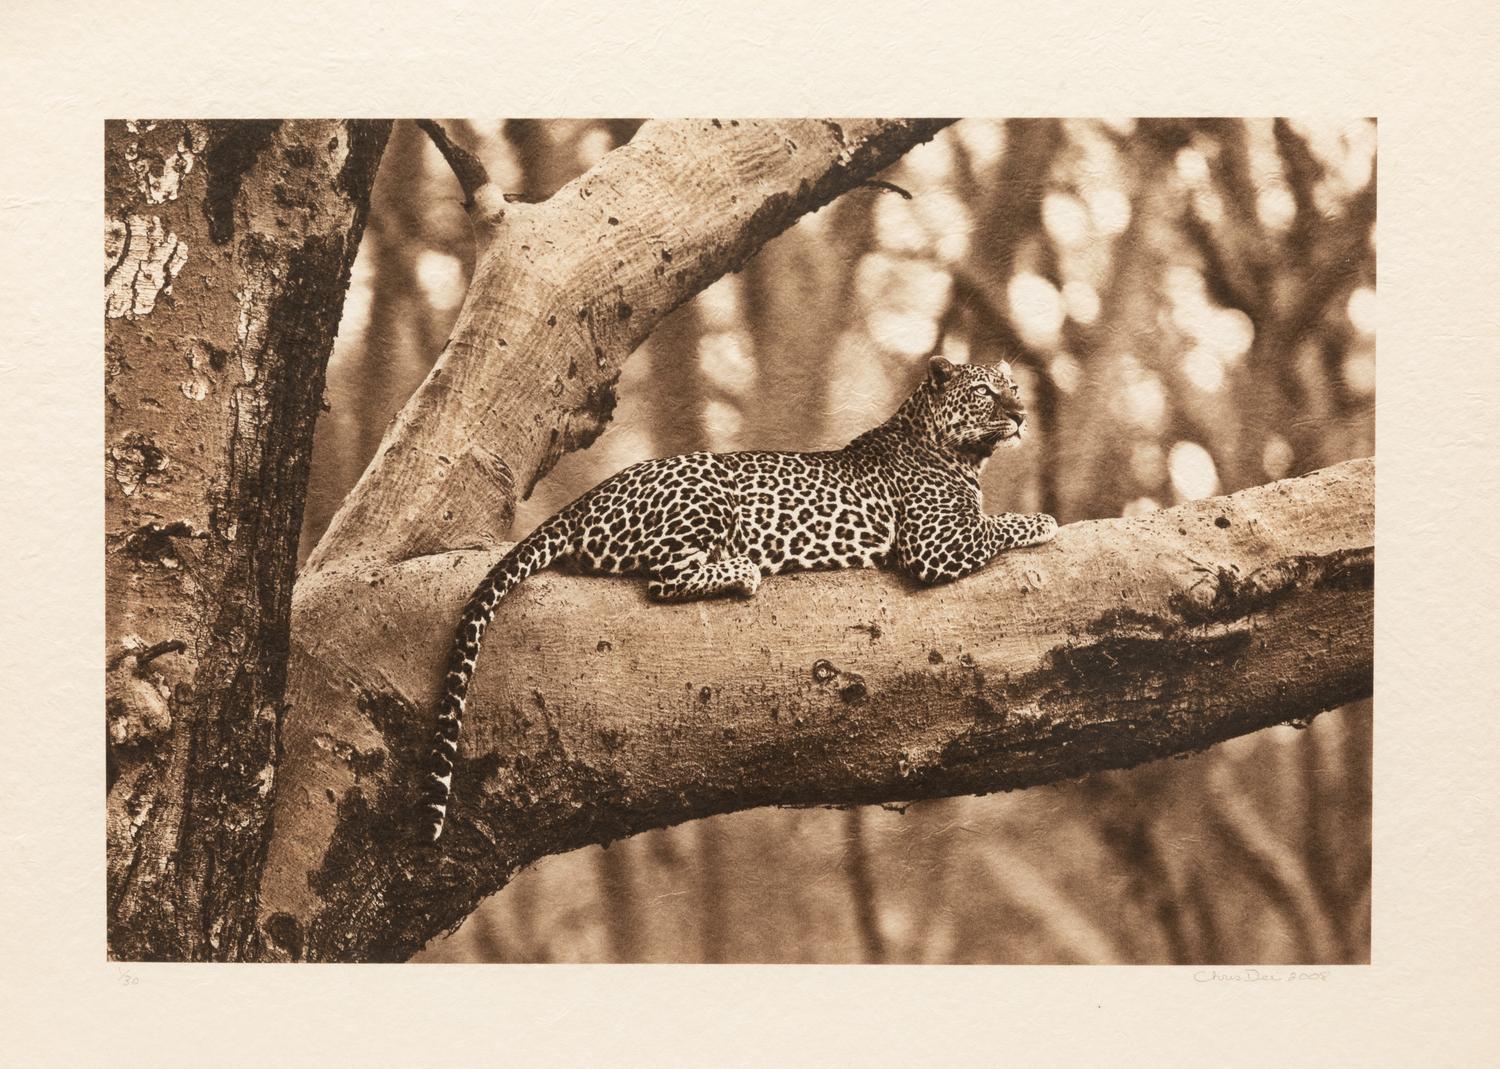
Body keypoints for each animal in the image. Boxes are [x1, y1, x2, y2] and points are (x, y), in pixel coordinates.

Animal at [421, 355, 1059, 840]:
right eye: (985, 392)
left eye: (1013, 388)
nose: (1022, 414)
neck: (953, 451)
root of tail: (585, 500)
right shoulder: (936, 544)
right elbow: (1001, 524)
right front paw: (1043, 520)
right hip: (706, 489)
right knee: (665, 579)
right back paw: (743, 570)